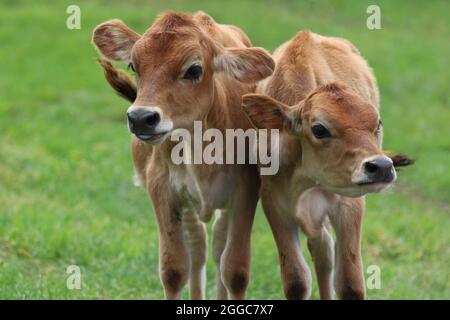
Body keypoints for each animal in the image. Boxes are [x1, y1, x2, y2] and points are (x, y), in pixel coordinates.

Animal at [92, 10, 274, 300]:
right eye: (133, 66)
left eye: (194, 70)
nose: (141, 118)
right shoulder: (162, 189)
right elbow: (174, 270)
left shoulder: (246, 190)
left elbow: (235, 271)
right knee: (198, 248)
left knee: (218, 247)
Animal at [243, 31, 412, 298]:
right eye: (319, 129)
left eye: (377, 123)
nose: (382, 166)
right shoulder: (274, 202)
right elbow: (296, 279)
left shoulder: (350, 204)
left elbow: (350, 283)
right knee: (322, 252)